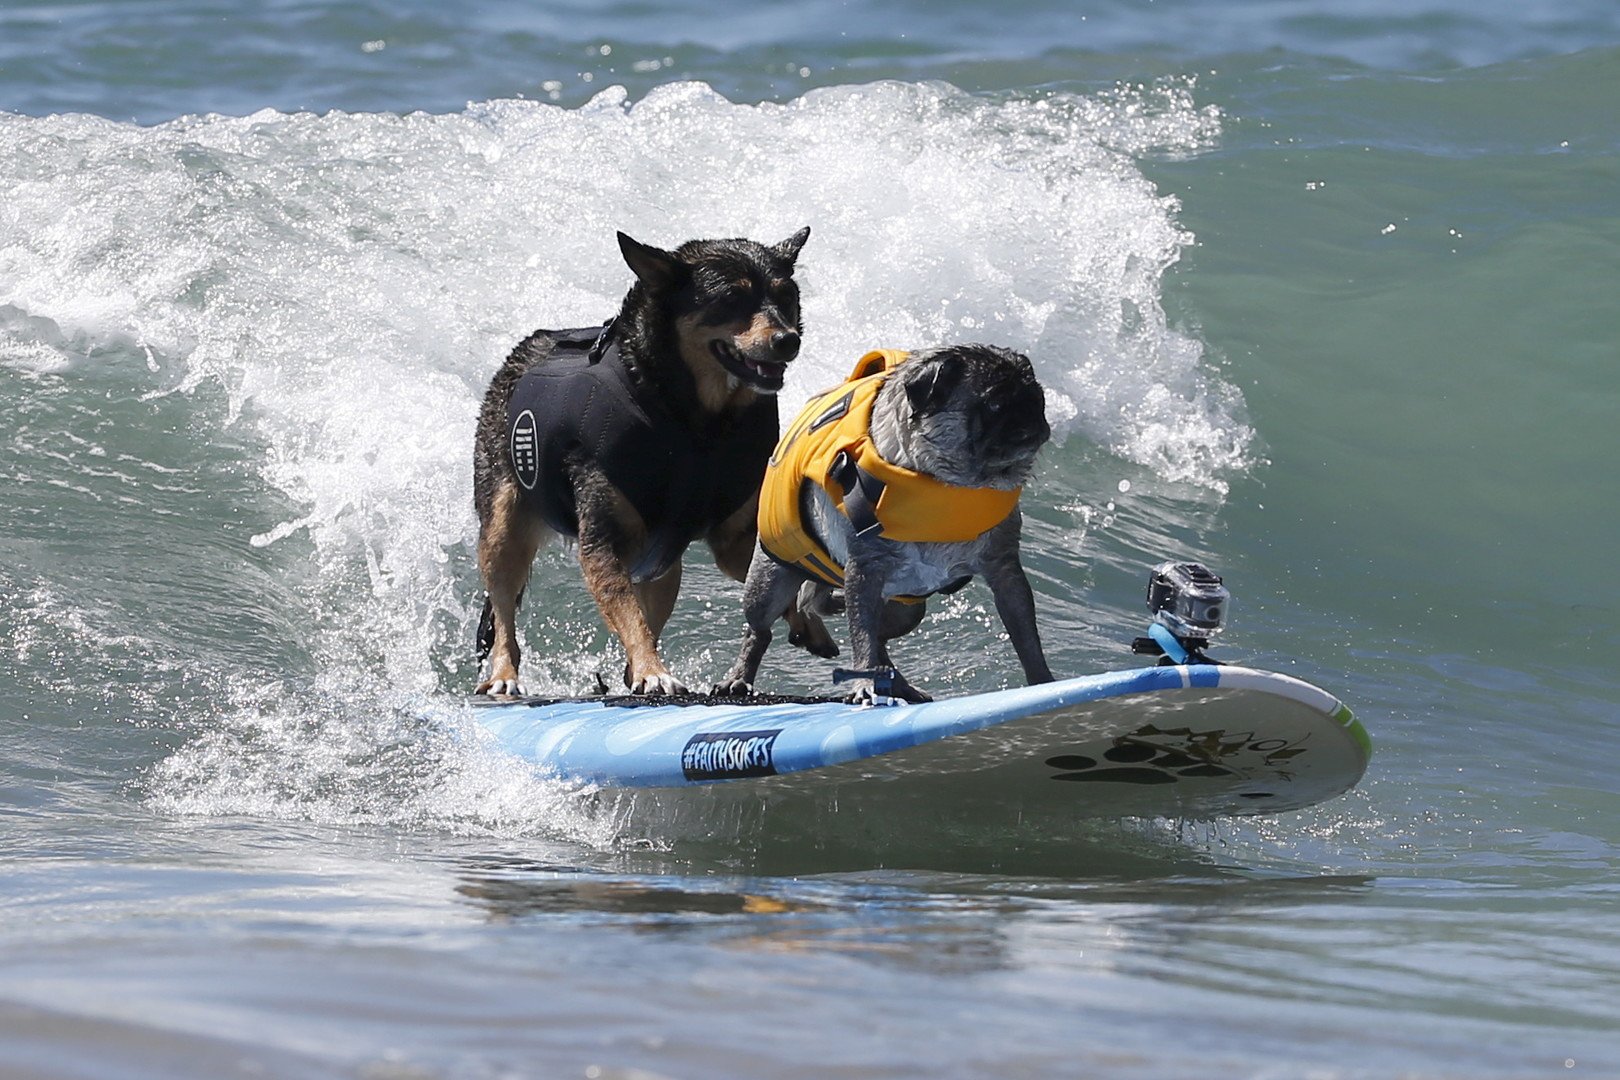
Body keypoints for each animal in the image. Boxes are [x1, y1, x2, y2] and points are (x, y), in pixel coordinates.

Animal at [473, 233, 806, 696]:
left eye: (786, 296)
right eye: (731, 298)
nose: (788, 339)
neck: (695, 421)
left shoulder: (734, 540)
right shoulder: (603, 542)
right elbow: (628, 613)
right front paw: (654, 670)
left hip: (661, 567)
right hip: (504, 516)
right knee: (504, 598)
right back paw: (505, 674)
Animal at [719, 341, 1049, 705]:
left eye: (1038, 395)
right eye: (994, 403)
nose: (1033, 410)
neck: (948, 485)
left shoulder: (1005, 572)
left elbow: (1027, 638)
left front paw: (1043, 681)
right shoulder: (864, 572)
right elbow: (861, 638)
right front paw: (863, 684)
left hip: (907, 611)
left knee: (877, 638)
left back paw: (899, 683)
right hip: (769, 585)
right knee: (760, 629)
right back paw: (739, 677)